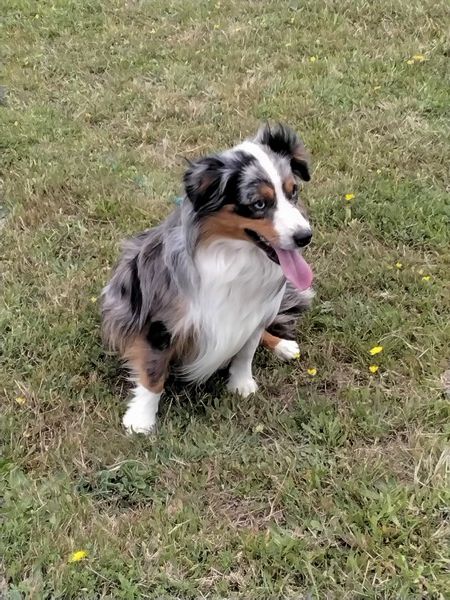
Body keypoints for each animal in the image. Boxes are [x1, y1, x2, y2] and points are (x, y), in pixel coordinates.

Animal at [101, 124, 314, 433]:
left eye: (293, 191)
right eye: (259, 204)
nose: (305, 237)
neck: (232, 254)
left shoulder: (253, 313)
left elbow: (245, 351)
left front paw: (241, 384)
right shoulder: (162, 322)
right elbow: (153, 373)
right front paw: (141, 420)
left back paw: (282, 345)